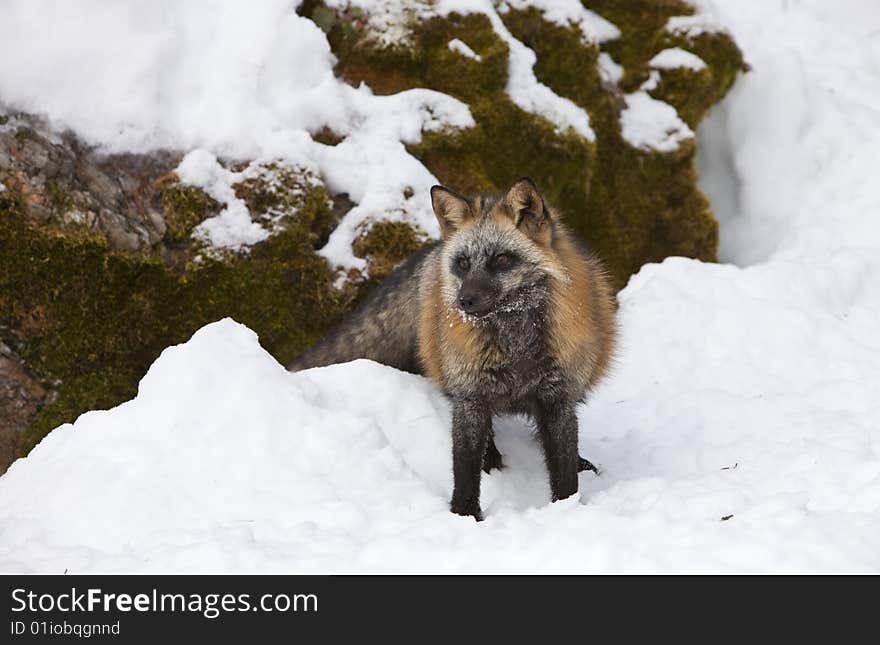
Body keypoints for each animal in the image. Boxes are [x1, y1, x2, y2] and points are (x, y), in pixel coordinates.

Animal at [286, 179, 616, 520]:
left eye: (501, 259)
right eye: (463, 263)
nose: (464, 301)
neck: (516, 350)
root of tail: (432, 251)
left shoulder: (558, 398)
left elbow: (564, 468)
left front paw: (567, 507)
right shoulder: (469, 397)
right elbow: (465, 467)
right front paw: (465, 515)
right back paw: (492, 460)